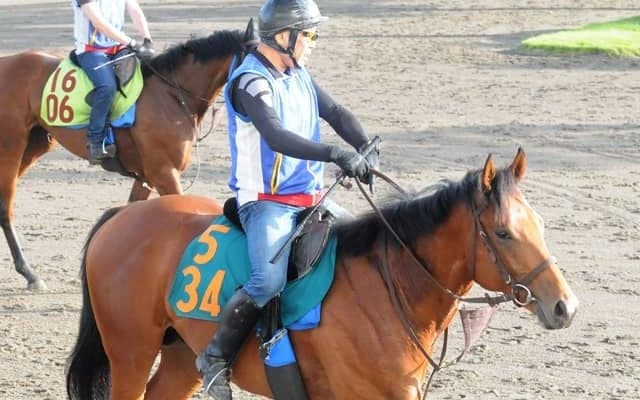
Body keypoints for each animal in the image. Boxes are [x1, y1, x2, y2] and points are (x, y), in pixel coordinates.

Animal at [0, 21, 257, 290]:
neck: (172, 94)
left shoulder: (146, 177)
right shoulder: (164, 173)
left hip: (35, 145)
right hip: (11, 147)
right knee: (5, 209)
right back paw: (30, 273)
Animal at [65, 148, 578, 400]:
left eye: (540, 224)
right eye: (503, 232)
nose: (564, 306)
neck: (387, 288)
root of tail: (123, 216)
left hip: (178, 358)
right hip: (130, 354)